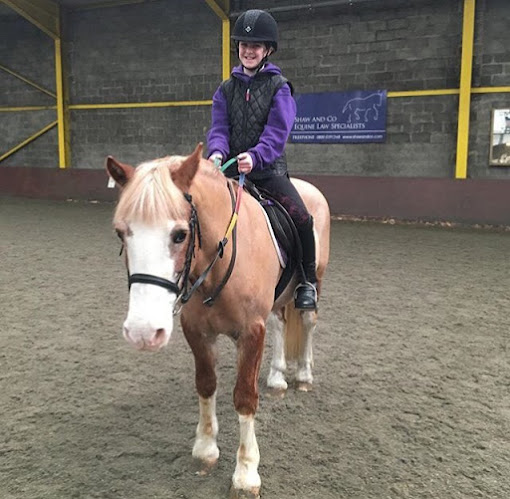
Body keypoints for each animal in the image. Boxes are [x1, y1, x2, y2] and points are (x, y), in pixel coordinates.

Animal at [107, 143, 330, 498]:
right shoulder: (197, 332)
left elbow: (244, 397)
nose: (143, 332)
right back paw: (277, 377)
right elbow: (206, 384)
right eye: (121, 233)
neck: (216, 265)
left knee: (308, 321)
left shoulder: (251, 332)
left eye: (180, 235)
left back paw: (304, 374)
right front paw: (205, 448)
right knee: (280, 324)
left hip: (314, 280)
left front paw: (246, 472)